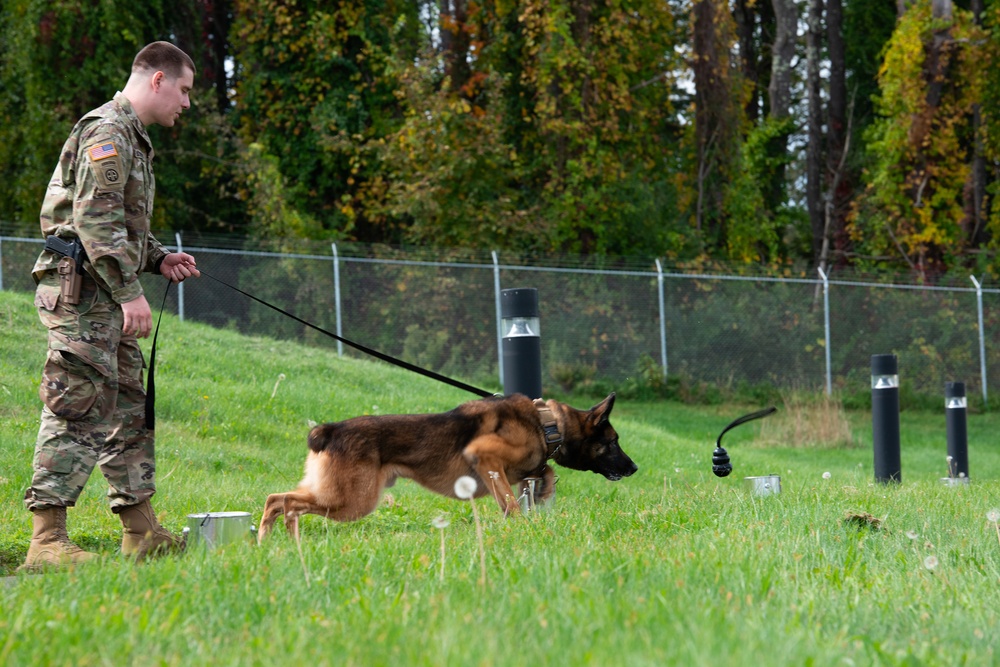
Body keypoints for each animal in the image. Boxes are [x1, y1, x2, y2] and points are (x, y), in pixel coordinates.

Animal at [256, 392, 632, 544]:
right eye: (613, 442)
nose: (635, 468)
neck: (546, 423)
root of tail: (331, 429)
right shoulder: (485, 458)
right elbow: (511, 502)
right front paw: (521, 523)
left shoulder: (516, 470)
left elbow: (543, 473)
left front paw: (542, 495)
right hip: (353, 501)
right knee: (283, 501)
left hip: (337, 494)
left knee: (281, 500)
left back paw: (278, 542)